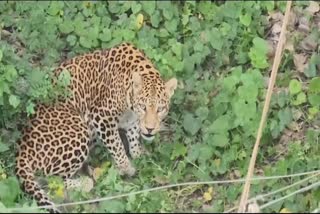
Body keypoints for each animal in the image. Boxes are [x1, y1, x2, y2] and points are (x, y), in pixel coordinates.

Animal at [15, 42, 178, 213]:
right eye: (143, 107)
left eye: (160, 109)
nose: (150, 129)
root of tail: (22, 150)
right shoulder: (101, 116)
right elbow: (117, 145)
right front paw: (126, 168)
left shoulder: (130, 119)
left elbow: (133, 135)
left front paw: (138, 153)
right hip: (79, 130)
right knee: (51, 179)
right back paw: (85, 183)